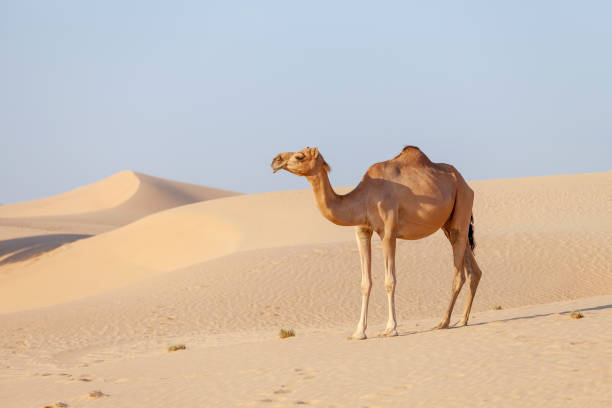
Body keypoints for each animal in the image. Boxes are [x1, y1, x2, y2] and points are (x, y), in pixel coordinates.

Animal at [272, 145, 482, 340]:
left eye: (299, 156)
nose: (275, 161)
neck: (364, 198)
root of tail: (465, 184)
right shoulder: (362, 231)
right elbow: (365, 282)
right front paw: (358, 332)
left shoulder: (388, 232)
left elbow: (390, 280)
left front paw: (390, 329)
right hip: (449, 223)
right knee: (472, 268)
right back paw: (462, 320)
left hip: (462, 204)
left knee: (458, 273)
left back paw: (443, 322)